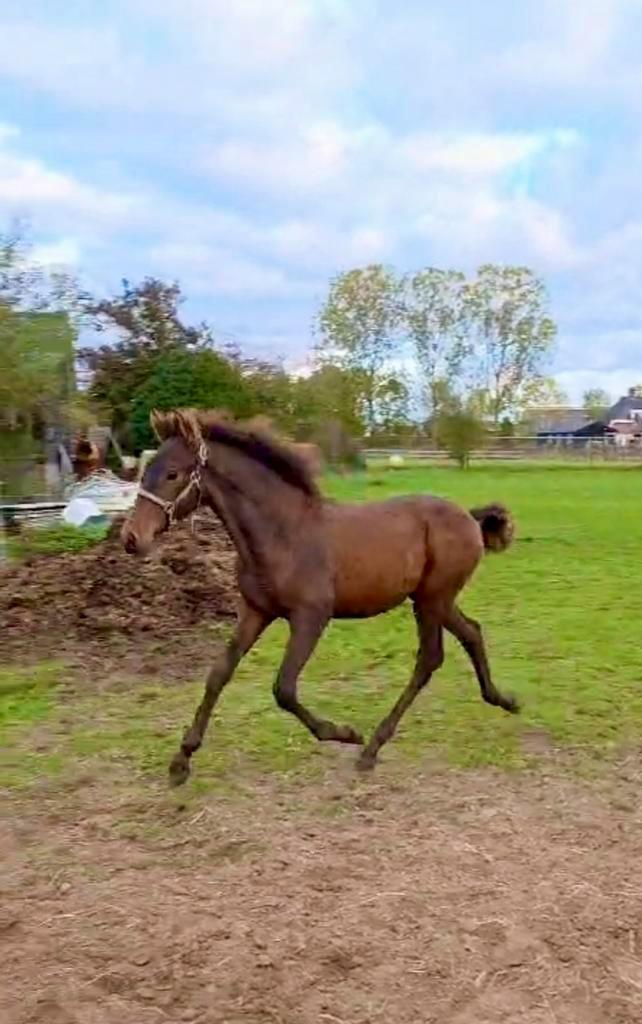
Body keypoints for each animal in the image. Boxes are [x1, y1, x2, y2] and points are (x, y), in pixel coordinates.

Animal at [121, 409, 518, 786]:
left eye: (172, 474)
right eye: (144, 471)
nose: (131, 538)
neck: (282, 533)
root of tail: (469, 517)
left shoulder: (311, 616)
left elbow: (283, 688)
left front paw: (344, 733)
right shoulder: (256, 611)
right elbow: (218, 674)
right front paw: (181, 761)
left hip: (432, 600)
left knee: (430, 658)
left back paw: (372, 747)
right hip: (433, 599)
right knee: (470, 632)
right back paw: (504, 700)